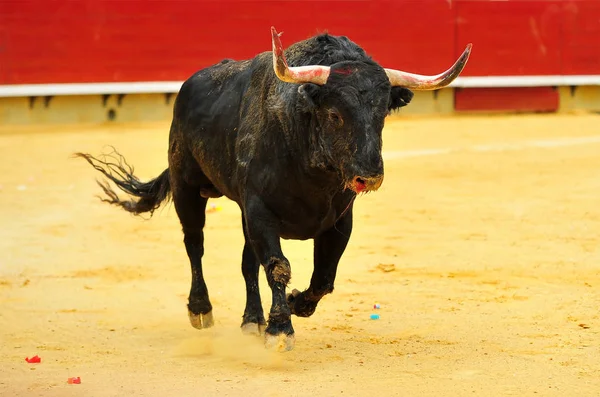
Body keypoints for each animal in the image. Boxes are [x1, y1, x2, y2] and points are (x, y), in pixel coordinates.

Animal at [76, 27, 468, 350]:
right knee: (194, 244)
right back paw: (201, 308)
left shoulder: (338, 221)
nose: (369, 176)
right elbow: (278, 266)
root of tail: (190, 86)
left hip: (241, 210)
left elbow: (322, 277)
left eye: (382, 113)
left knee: (247, 263)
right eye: (335, 115)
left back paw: (253, 319)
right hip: (186, 185)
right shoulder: (261, 210)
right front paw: (281, 329)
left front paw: (294, 305)